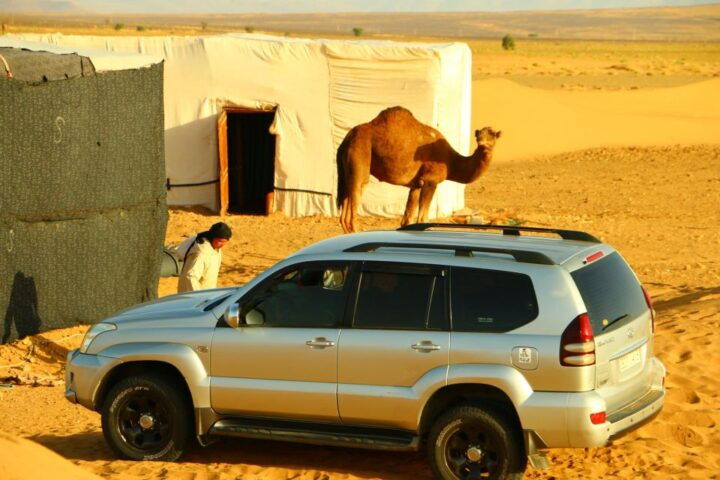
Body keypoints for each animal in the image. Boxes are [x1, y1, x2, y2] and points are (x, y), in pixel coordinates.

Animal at [338, 106, 500, 233]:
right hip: (360, 154)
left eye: (493, 135)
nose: (482, 144)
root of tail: (347, 138)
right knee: (355, 202)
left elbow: (407, 219)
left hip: (347, 169)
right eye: (479, 136)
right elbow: (422, 218)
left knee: (344, 212)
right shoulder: (430, 180)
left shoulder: (416, 184)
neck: (450, 161)